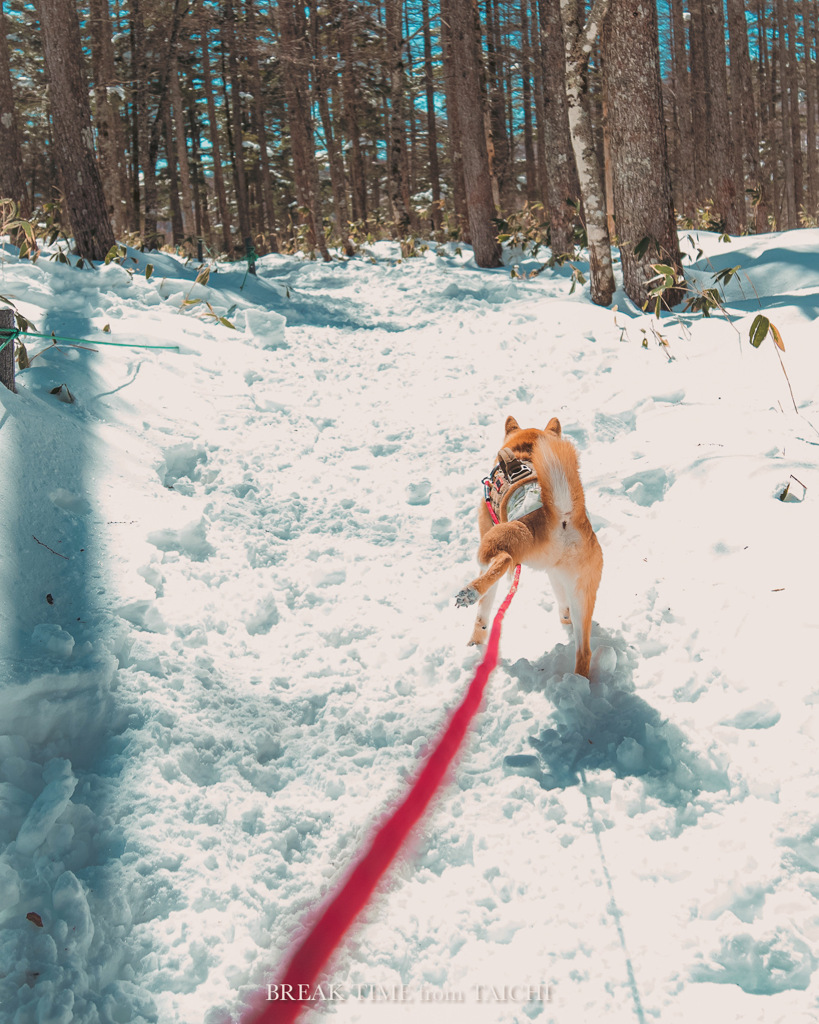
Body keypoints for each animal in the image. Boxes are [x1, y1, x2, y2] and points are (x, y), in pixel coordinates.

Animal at [454, 411, 601, 675]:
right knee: (584, 651)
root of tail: (562, 517)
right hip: (583, 591)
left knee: (503, 560)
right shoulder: (555, 572)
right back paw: (579, 679)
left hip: (496, 541)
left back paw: (470, 591)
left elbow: (483, 614)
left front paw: (475, 643)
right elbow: (561, 598)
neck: (525, 452)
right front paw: (564, 616)